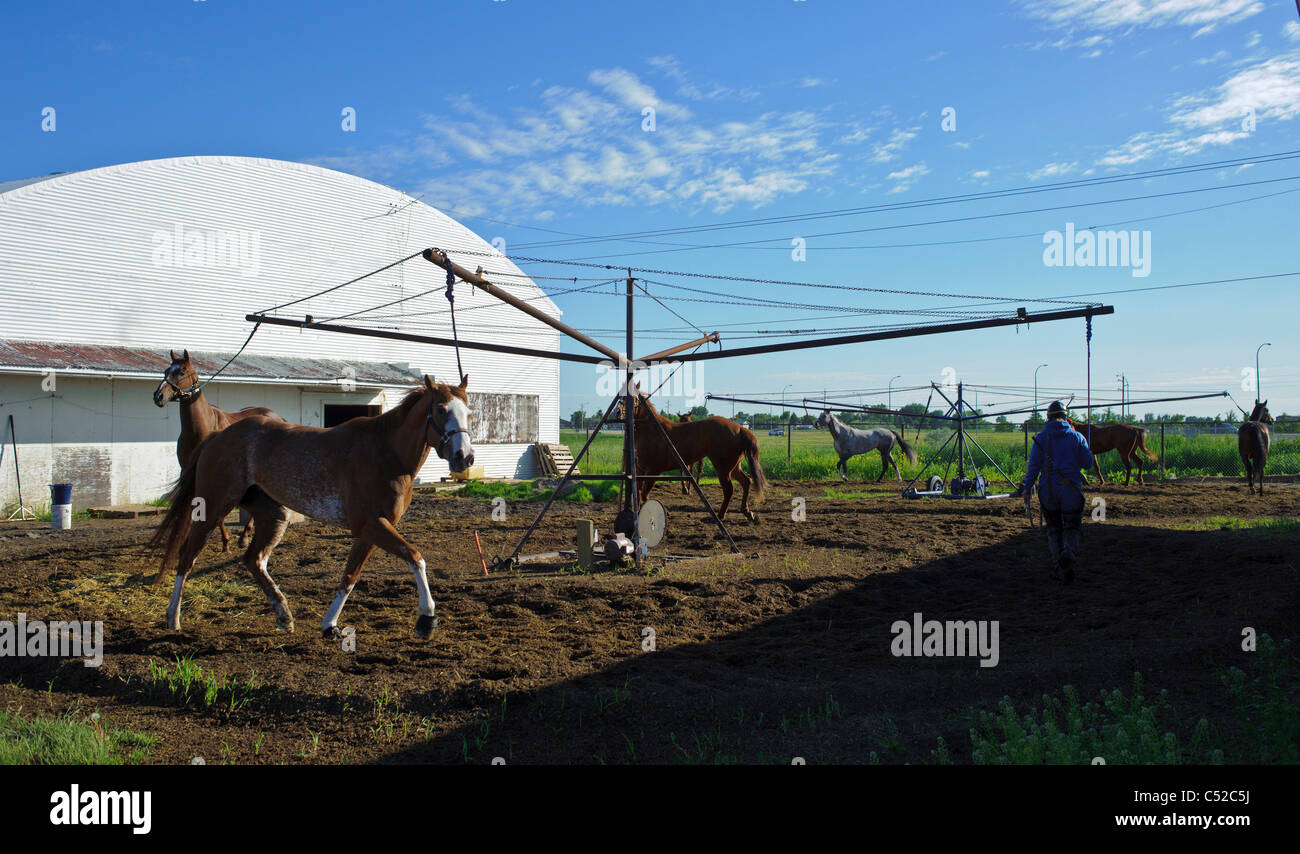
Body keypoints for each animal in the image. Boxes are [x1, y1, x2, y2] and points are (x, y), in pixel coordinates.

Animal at [148, 374, 474, 638]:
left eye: (468, 413)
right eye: (441, 410)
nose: (465, 458)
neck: (386, 453)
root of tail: (217, 436)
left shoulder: (371, 530)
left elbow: (349, 577)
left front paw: (329, 625)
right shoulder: (371, 525)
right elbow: (416, 558)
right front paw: (426, 619)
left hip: (274, 515)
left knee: (254, 560)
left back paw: (284, 615)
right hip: (213, 506)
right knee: (187, 557)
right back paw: (173, 618)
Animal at [153, 349, 286, 551]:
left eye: (182, 371)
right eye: (166, 371)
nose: (158, 396)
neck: (201, 428)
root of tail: (276, 416)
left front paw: (226, 542)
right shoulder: (189, 472)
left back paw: (245, 536)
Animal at [617, 392, 766, 522]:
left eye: (633, 398)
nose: (618, 412)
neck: (652, 429)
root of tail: (740, 429)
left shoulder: (653, 471)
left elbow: (644, 495)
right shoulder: (640, 470)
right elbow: (638, 493)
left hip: (723, 468)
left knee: (729, 489)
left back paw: (720, 516)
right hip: (734, 467)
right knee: (746, 482)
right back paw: (747, 512)